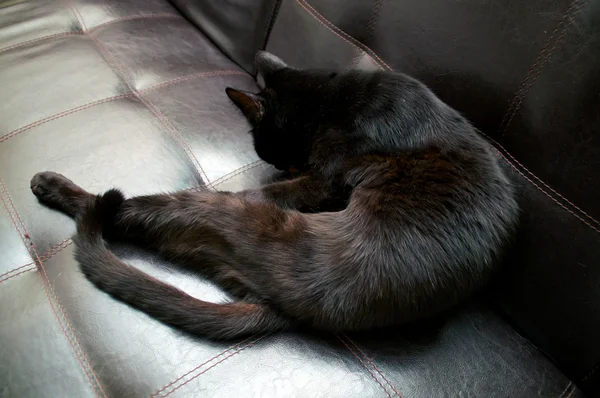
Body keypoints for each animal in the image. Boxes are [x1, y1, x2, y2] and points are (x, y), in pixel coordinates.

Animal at [29, 52, 516, 338]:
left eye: (284, 160)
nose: (287, 167)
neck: (334, 99)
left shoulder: (324, 179)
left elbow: (268, 189)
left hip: (218, 211)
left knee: (121, 209)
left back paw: (53, 186)